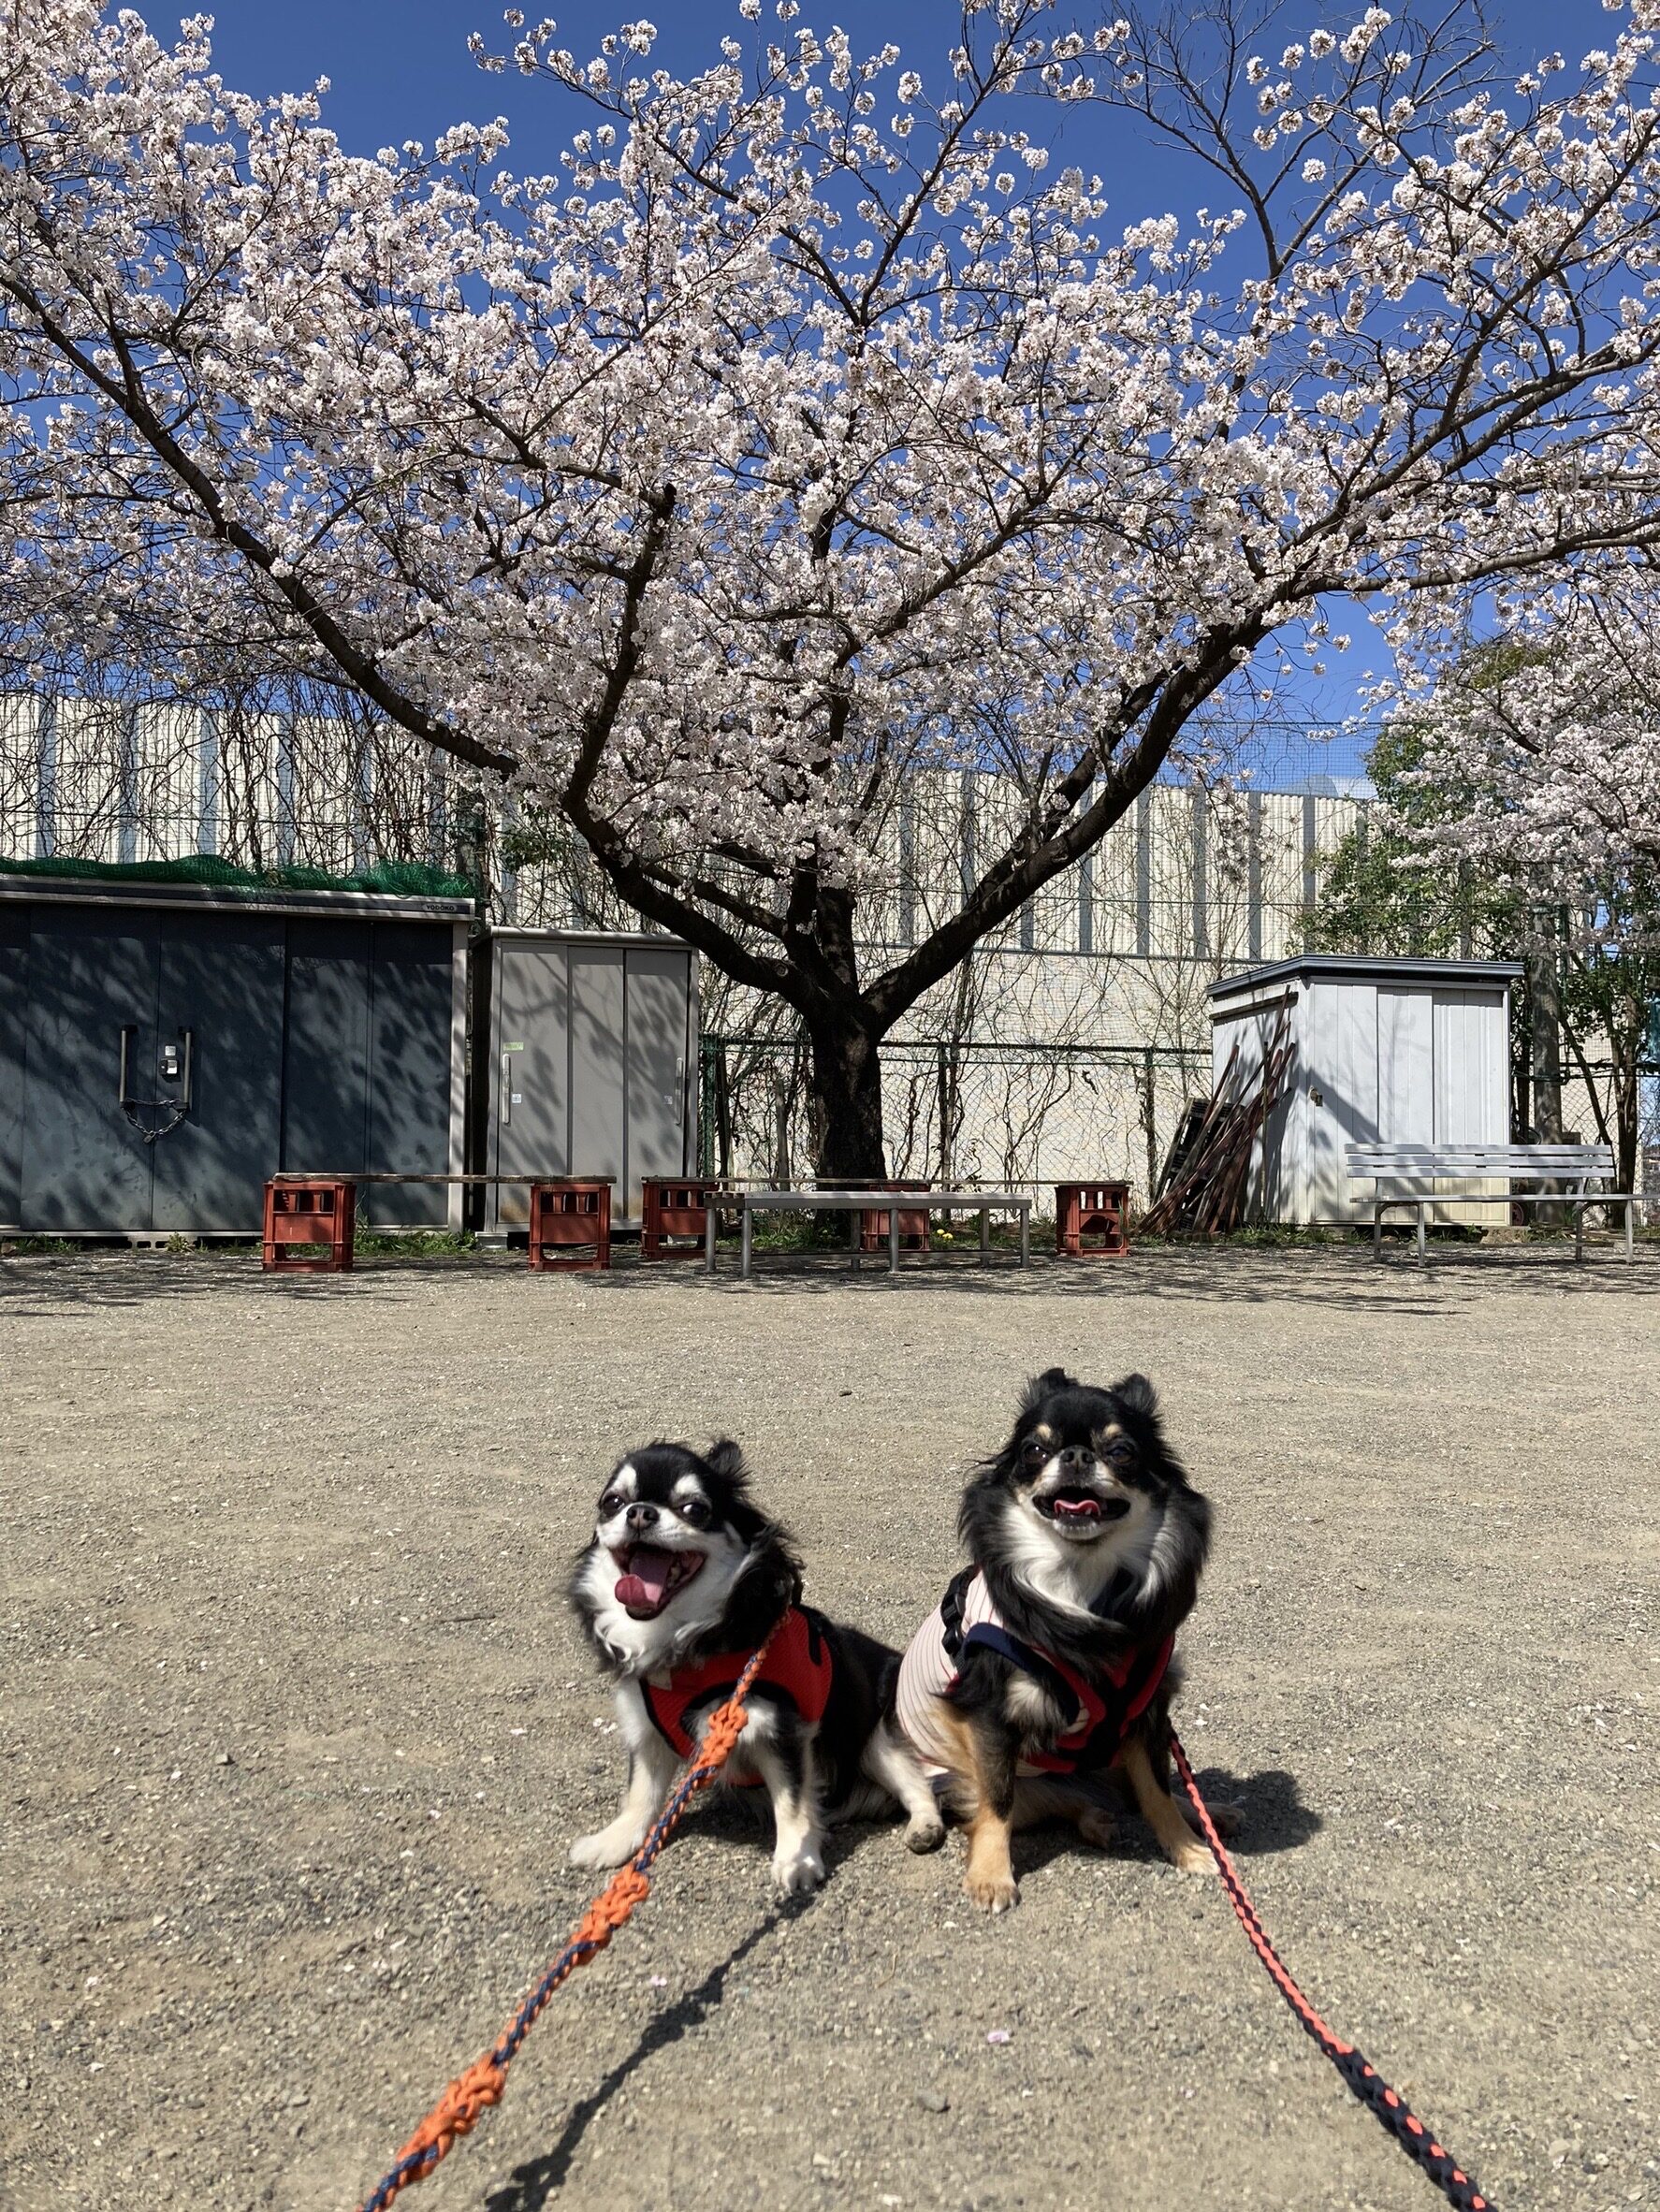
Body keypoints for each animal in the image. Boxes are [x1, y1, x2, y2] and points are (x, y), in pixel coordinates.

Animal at [568, 1439, 943, 1893]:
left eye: (694, 1508)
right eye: (612, 1502)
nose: (640, 1512)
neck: (683, 1641)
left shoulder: (780, 1729)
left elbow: (793, 1802)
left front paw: (796, 1859)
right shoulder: (648, 1732)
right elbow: (641, 1794)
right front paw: (614, 1842)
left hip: (879, 1740)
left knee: (919, 1784)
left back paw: (924, 1827)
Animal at [895, 1367, 1230, 1912]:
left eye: (1121, 1451)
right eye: (1035, 1449)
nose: (1074, 1455)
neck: (1077, 1576)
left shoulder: (1147, 1711)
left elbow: (1158, 1789)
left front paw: (1187, 1847)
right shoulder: (991, 1716)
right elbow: (997, 1802)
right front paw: (991, 1876)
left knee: (1131, 1790)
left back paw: (1206, 1813)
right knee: (1053, 1804)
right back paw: (1097, 1822)